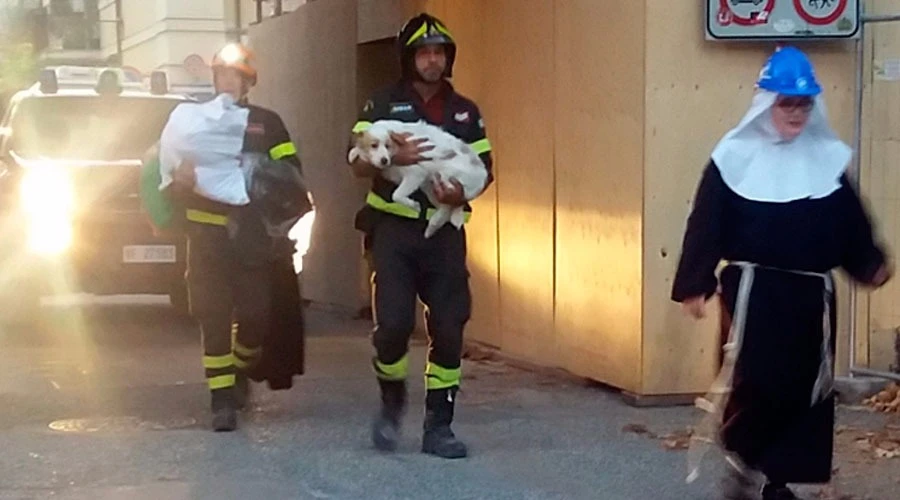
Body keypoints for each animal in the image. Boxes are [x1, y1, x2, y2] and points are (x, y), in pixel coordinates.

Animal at [348, 120, 488, 239]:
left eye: (388, 146)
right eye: (373, 145)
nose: (384, 160)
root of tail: (483, 174)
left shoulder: (415, 175)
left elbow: (396, 195)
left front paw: (413, 205)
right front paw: (354, 153)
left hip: (445, 180)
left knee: (452, 204)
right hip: (431, 189)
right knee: (445, 209)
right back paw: (432, 226)